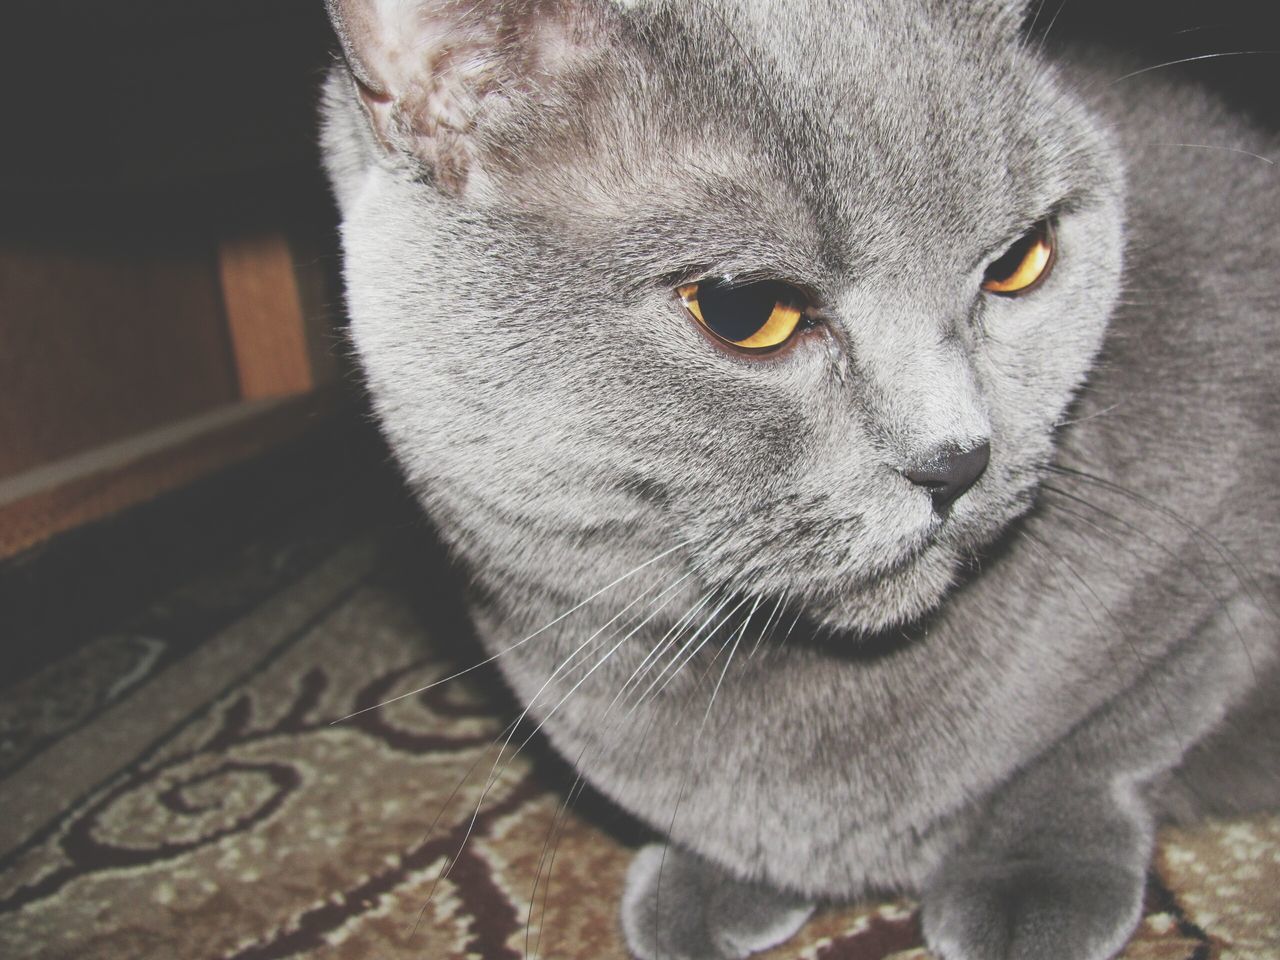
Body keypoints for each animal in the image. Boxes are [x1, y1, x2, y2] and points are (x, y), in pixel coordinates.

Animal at [314, 3, 1274, 957]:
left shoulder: (1233, 593)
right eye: (744, 310)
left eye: (1020, 262)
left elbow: (1130, 725)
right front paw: (710, 881)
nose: (959, 459)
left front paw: (1027, 874)